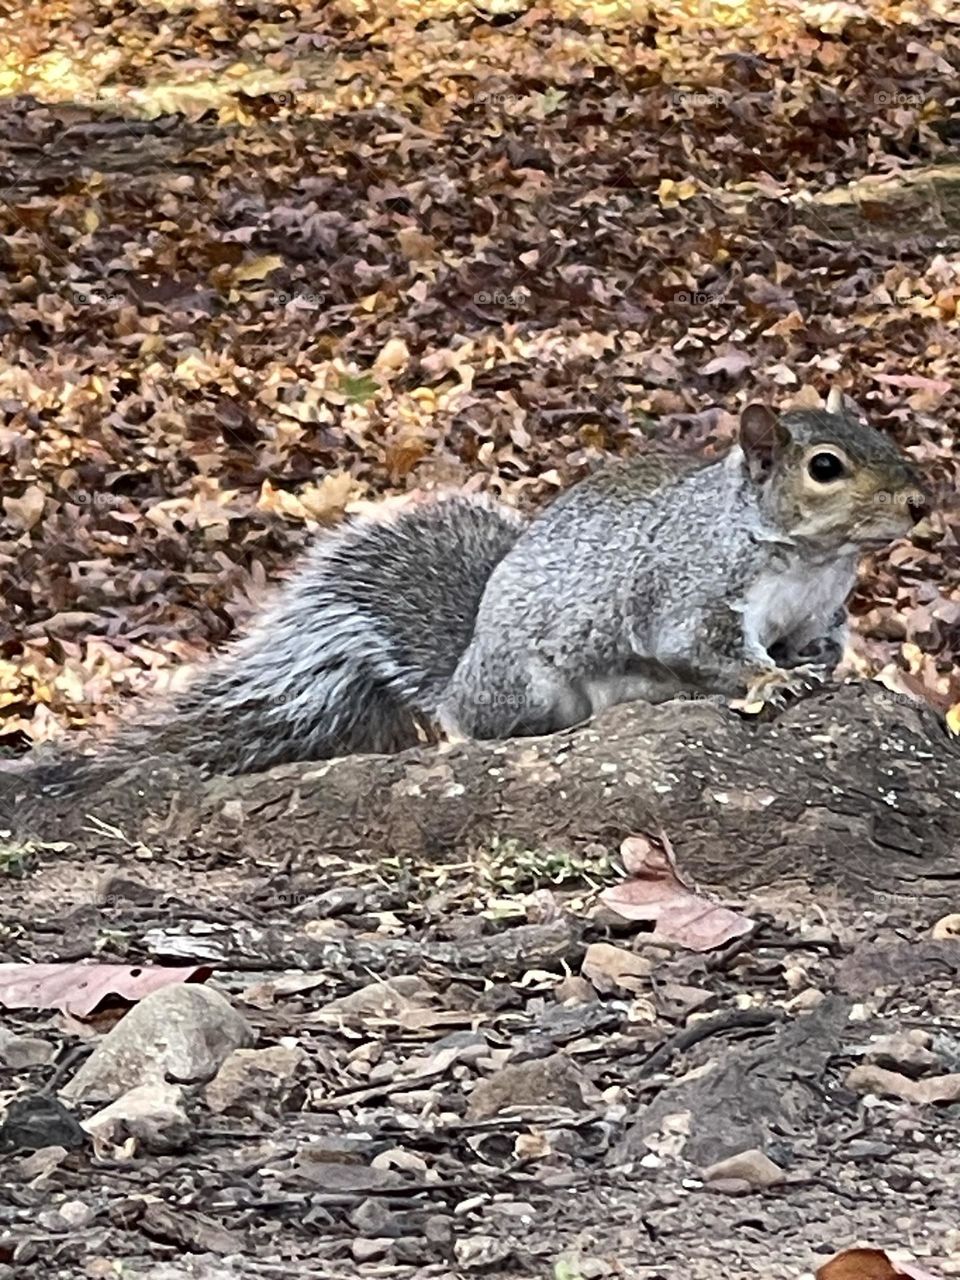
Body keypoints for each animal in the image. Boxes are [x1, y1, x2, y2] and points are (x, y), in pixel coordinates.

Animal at [11, 392, 926, 788]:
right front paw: (769, 680)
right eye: (825, 467)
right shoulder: (688, 587)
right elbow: (702, 645)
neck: (810, 561)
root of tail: (461, 671)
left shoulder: (818, 611)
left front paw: (822, 669)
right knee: (476, 728)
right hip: (524, 688)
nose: (923, 502)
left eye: (879, 432)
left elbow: (823, 645)